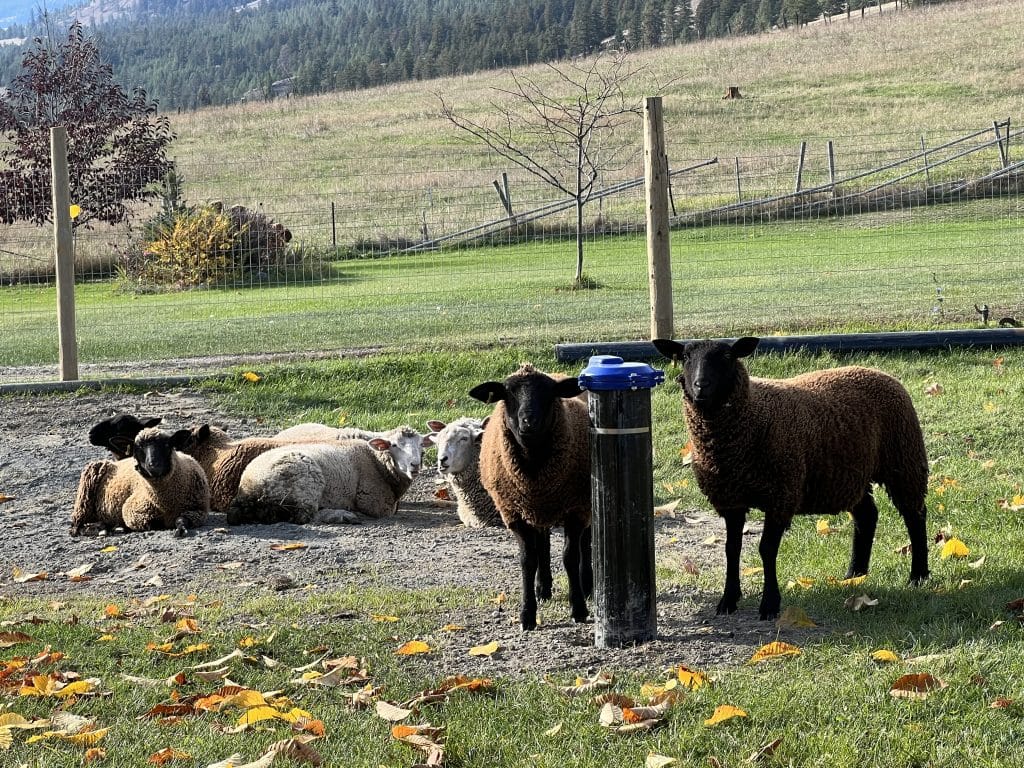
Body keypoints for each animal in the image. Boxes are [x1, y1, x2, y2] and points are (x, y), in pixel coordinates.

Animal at [70, 426, 210, 537]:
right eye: (138, 448)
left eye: (166, 445)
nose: (153, 465)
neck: (166, 503)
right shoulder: (133, 511)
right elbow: (153, 523)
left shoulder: (198, 511)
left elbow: (181, 520)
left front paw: (180, 530)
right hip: (83, 502)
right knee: (75, 527)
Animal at [226, 426, 434, 525]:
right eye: (394, 445)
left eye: (421, 445)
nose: (415, 465)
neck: (376, 460)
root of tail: (248, 486)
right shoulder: (375, 502)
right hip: (305, 482)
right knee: (304, 516)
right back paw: (343, 515)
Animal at [469, 363, 593, 631]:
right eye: (507, 393)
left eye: (549, 393)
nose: (528, 421)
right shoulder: (514, 513)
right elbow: (528, 560)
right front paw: (527, 614)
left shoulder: (576, 508)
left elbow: (570, 556)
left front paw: (578, 608)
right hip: (538, 509)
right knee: (543, 543)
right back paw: (542, 588)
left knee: (586, 542)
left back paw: (587, 585)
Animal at [652, 336, 930, 620]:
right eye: (685, 357)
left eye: (728, 357)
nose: (701, 386)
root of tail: (880, 373)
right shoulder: (731, 499)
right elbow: (732, 548)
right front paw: (728, 600)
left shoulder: (781, 495)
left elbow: (766, 549)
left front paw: (769, 605)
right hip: (849, 475)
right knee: (867, 516)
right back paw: (855, 575)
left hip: (904, 460)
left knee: (915, 515)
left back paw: (918, 575)